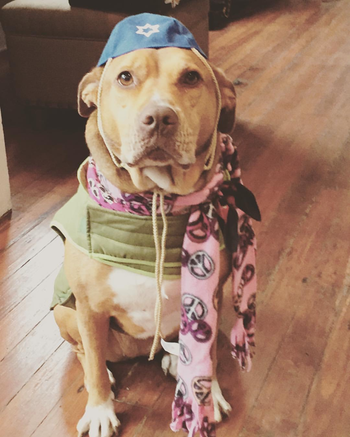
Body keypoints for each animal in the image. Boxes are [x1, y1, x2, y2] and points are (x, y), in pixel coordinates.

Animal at [50, 13, 241, 436]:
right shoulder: (88, 307)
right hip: (65, 311)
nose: (159, 118)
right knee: (86, 351)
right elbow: (94, 367)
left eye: (191, 77)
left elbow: (209, 353)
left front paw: (208, 393)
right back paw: (103, 369)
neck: (154, 204)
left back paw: (172, 358)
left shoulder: (210, 295)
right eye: (125, 78)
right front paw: (100, 409)